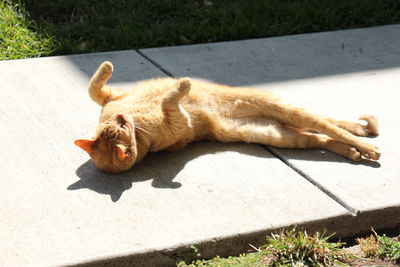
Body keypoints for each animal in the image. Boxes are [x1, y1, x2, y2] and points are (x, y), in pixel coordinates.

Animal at [76, 61, 382, 174]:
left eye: (117, 125)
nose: (122, 118)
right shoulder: (180, 122)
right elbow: (169, 101)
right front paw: (182, 86)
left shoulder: (111, 96)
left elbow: (93, 87)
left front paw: (106, 66)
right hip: (279, 133)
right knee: (323, 134)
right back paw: (361, 150)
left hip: (279, 112)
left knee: (330, 124)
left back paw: (361, 140)